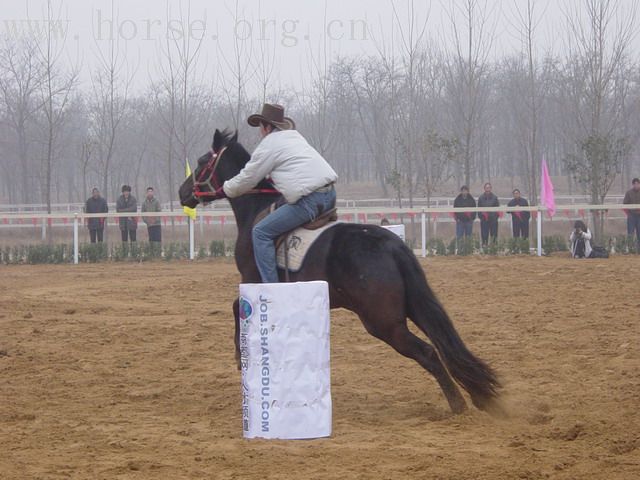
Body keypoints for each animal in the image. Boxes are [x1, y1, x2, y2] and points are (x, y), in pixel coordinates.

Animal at [179, 129, 500, 414]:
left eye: (201, 161)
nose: (183, 193)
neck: (256, 211)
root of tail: (392, 245)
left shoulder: (252, 279)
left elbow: (236, 306)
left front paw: (239, 355)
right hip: (412, 308)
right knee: (444, 346)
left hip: (384, 323)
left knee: (429, 353)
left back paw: (458, 405)